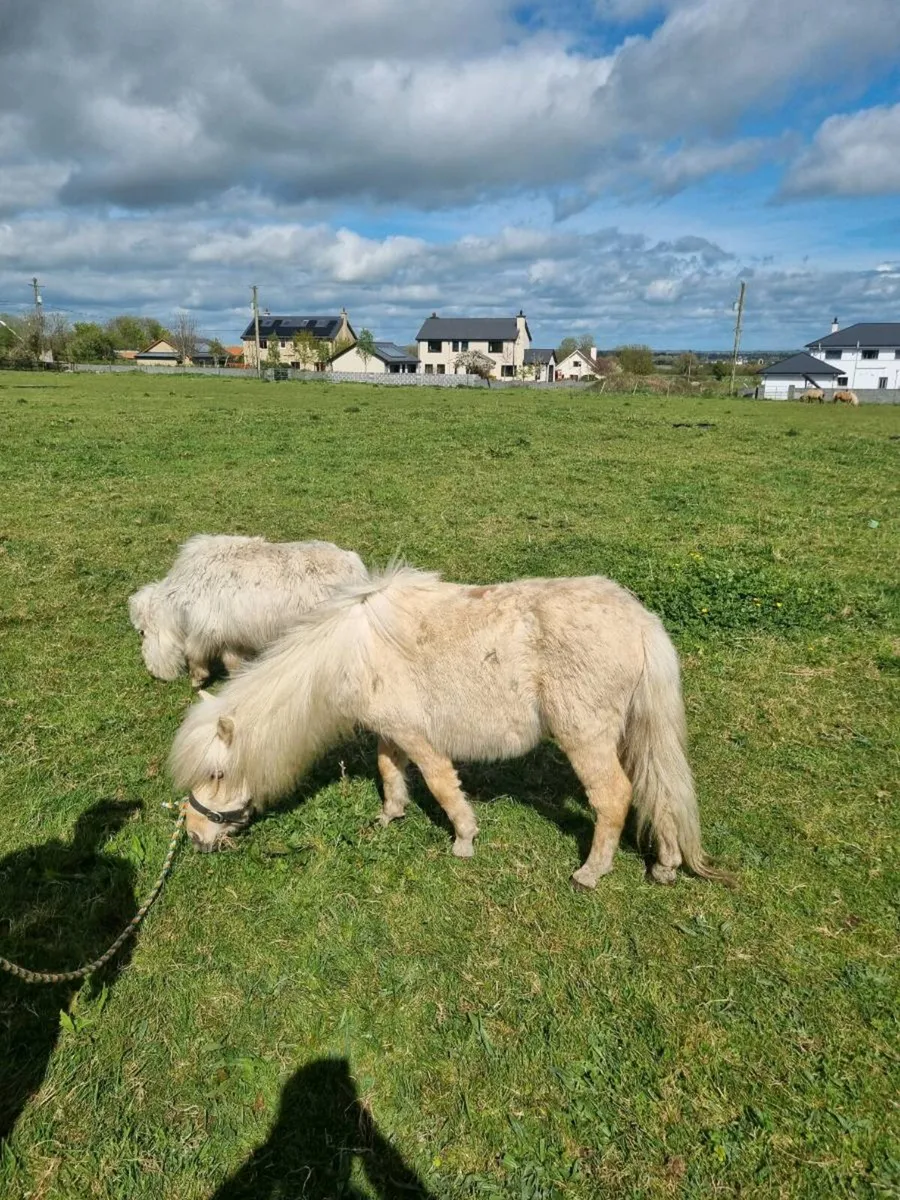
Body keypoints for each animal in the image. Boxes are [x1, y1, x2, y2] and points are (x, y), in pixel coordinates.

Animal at [129, 534, 368, 687]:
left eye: (142, 632)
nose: (152, 671)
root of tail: (356, 567)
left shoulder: (206, 631)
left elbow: (194, 654)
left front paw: (197, 679)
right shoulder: (231, 637)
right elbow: (232, 661)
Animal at [169, 564, 727, 889]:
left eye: (217, 774)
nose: (195, 836)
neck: (350, 654)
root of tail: (641, 621)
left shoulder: (420, 738)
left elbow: (439, 784)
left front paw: (464, 839)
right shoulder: (392, 731)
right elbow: (389, 770)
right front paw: (390, 815)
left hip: (585, 736)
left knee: (615, 796)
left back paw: (590, 872)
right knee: (660, 791)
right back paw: (665, 866)